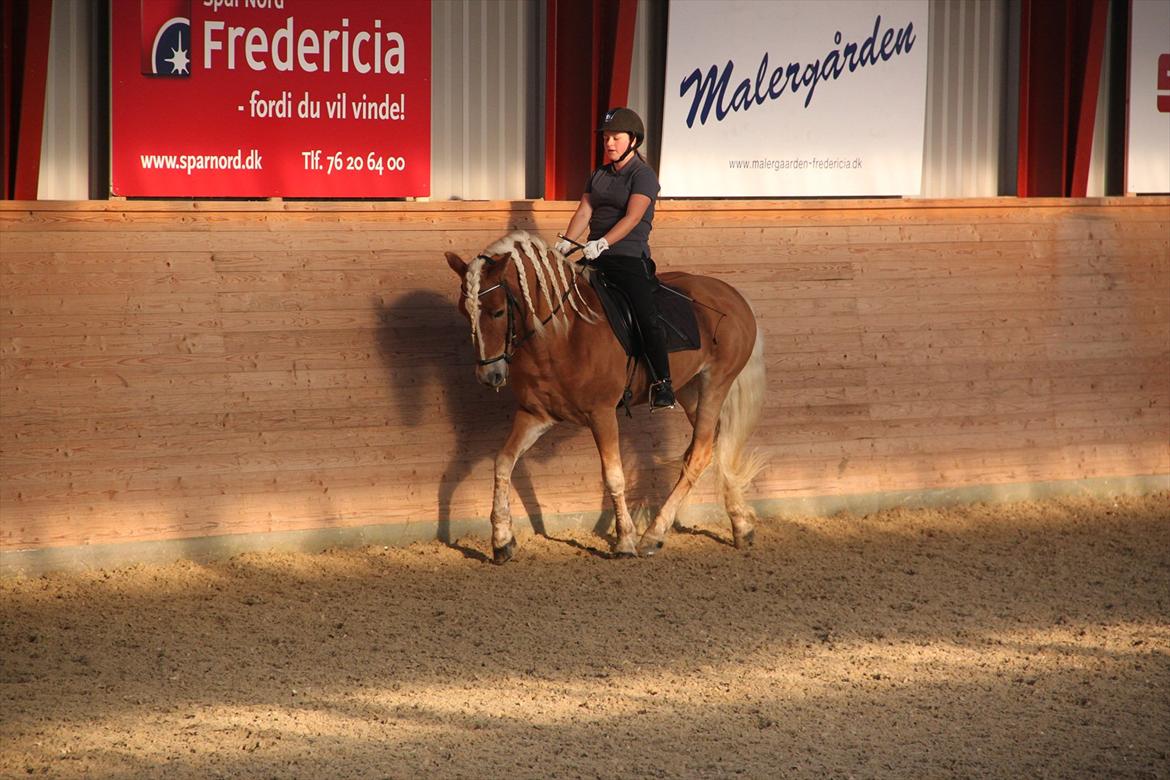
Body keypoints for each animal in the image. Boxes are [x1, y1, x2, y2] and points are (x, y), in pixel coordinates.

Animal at [442, 230, 762, 561]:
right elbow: (503, 462)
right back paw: (741, 526)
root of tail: (733, 295)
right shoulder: (535, 414)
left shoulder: (602, 414)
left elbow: (613, 475)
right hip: (690, 392)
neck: (563, 334)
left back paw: (654, 534)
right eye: (465, 312)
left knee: (700, 454)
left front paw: (625, 542)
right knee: (717, 447)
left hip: (715, 383)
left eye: (498, 312)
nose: (488, 376)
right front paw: (502, 540)